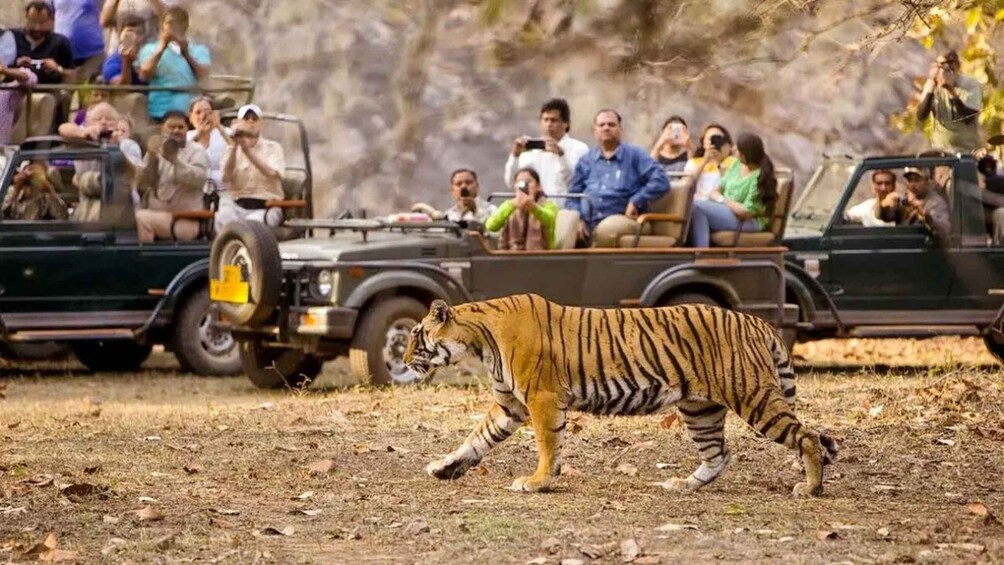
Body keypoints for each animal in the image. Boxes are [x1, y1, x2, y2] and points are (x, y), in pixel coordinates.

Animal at [403, 295, 835, 497]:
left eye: (417, 336)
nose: (405, 361)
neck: (478, 340)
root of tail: (758, 321)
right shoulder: (510, 405)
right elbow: (476, 438)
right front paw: (444, 467)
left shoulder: (542, 398)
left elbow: (547, 445)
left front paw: (538, 482)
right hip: (700, 408)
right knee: (718, 454)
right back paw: (682, 485)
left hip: (752, 396)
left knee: (807, 437)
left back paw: (811, 488)